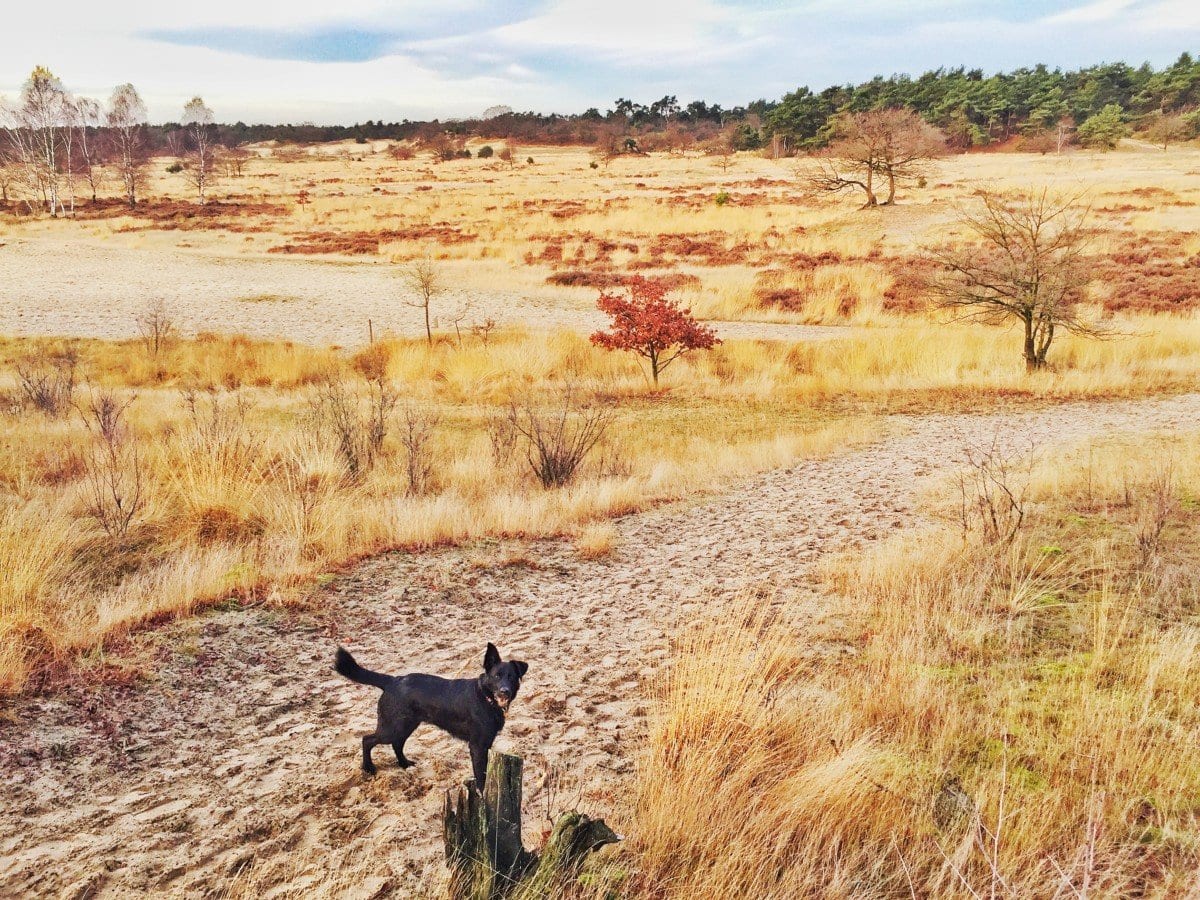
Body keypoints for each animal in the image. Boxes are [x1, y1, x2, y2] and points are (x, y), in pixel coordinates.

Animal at [336, 643, 528, 787]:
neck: (485, 697)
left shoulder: (486, 743)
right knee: (367, 739)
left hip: (406, 725)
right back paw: (368, 767)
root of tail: (392, 680)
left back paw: (404, 764)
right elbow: (481, 776)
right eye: (497, 676)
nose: (505, 691)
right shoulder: (477, 746)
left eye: (512, 677)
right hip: (392, 727)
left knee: (397, 743)